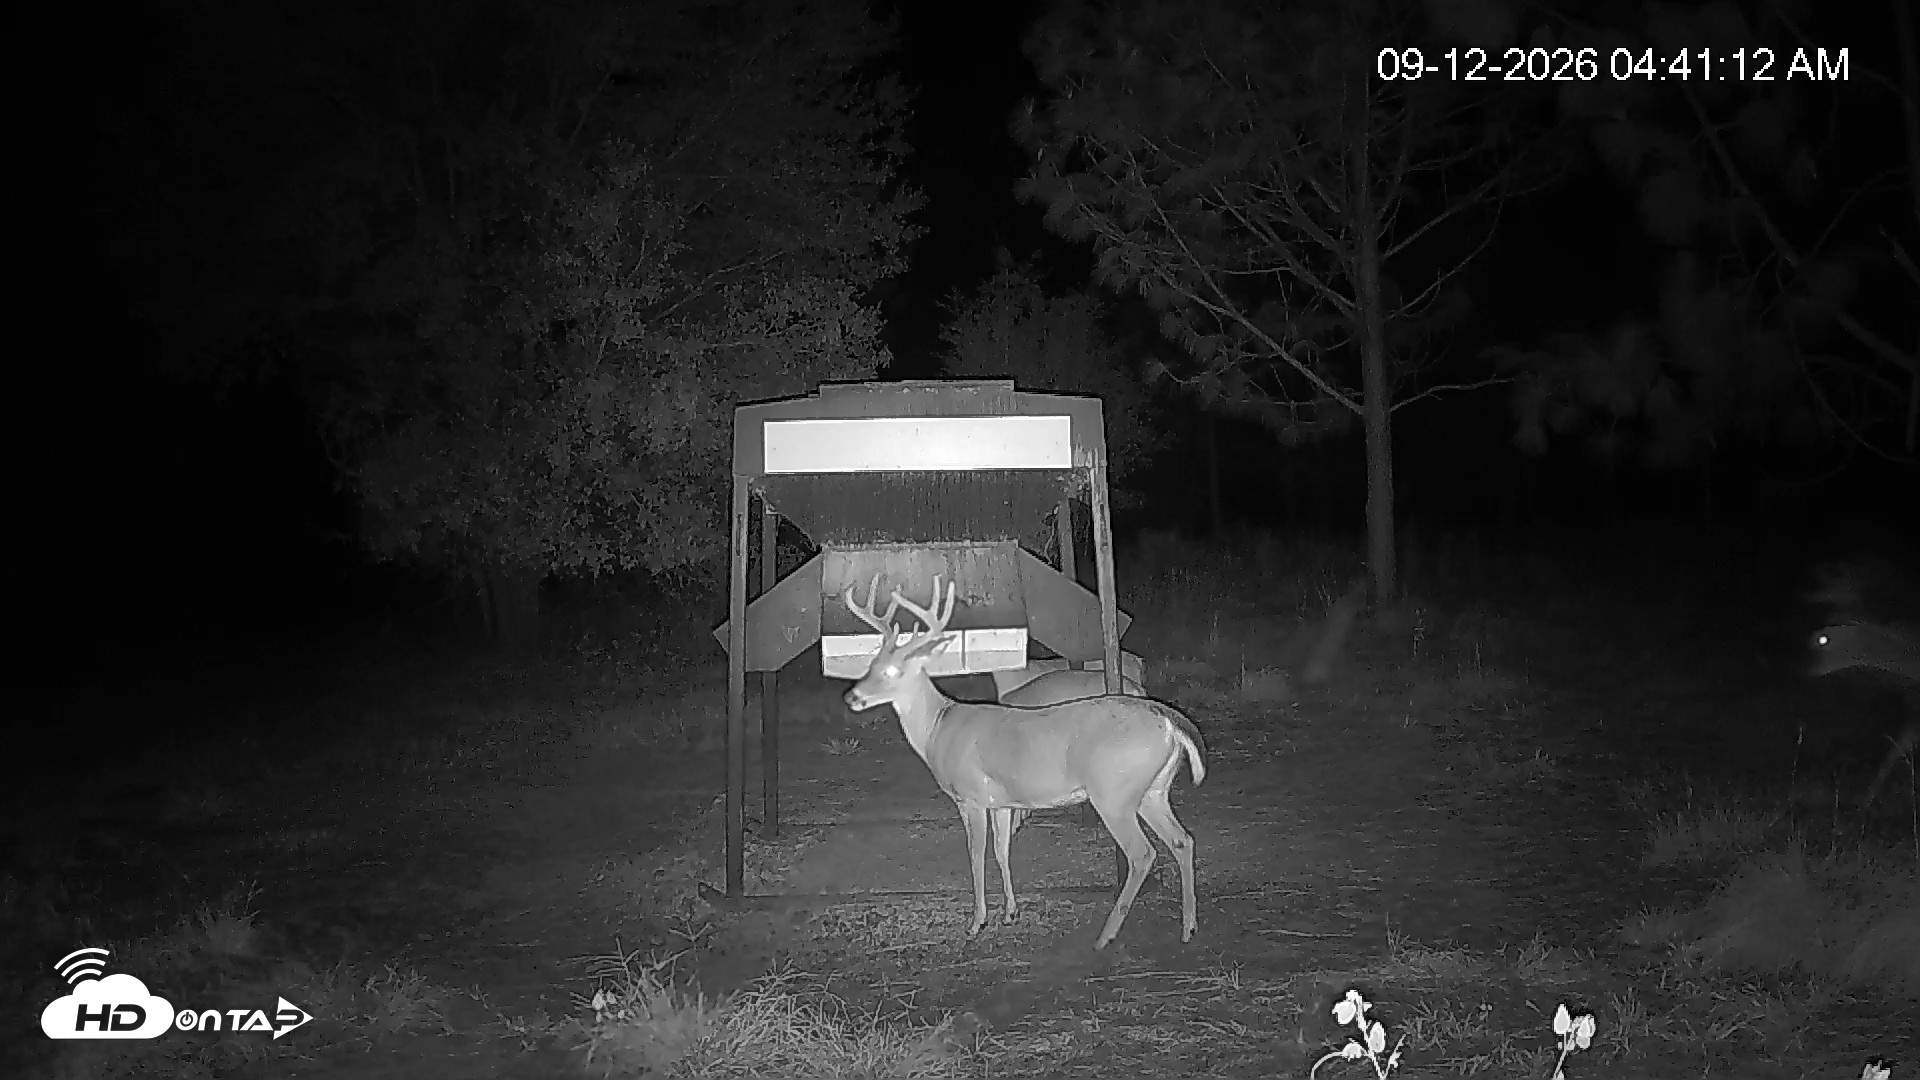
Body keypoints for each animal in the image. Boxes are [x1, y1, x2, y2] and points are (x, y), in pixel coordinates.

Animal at [842, 573, 1205, 950]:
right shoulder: (1001, 802)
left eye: (892, 671)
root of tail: (1170, 723)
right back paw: (1188, 927)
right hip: (1152, 790)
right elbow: (1003, 851)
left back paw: (1105, 936)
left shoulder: (970, 797)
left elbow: (976, 855)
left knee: (1142, 853)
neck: (937, 729)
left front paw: (977, 922)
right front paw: (1010, 912)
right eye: (870, 664)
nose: (852, 697)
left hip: (1113, 792)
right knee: (1183, 840)